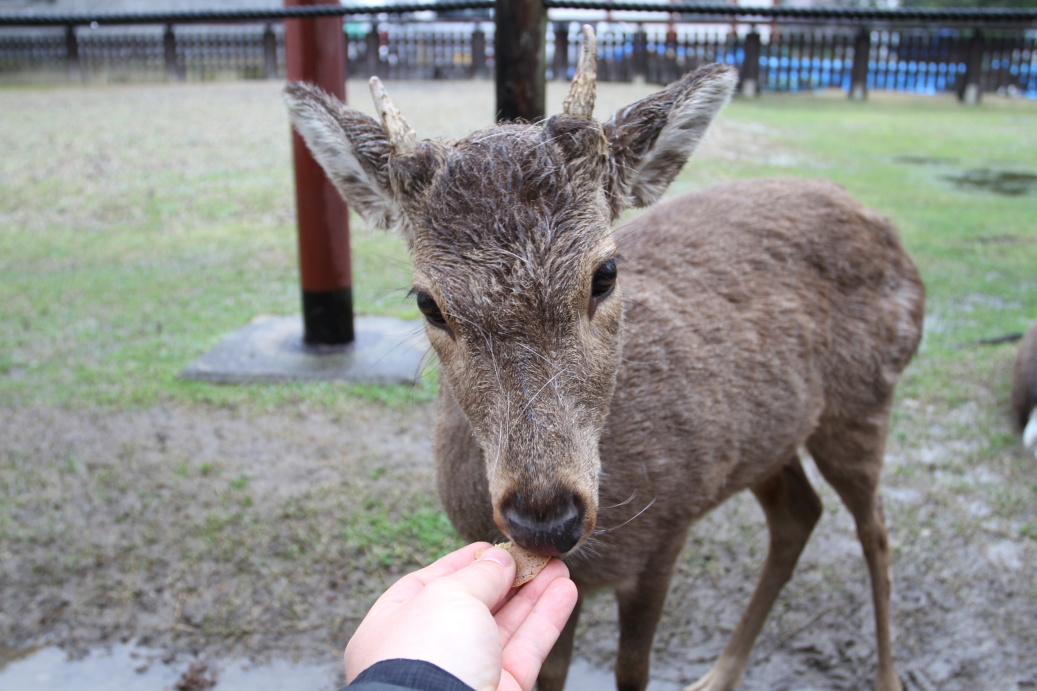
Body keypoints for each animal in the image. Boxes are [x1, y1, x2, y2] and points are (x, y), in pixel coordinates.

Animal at [282, 25, 925, 688]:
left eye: (606, 273)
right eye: (428, 302)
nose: (546, 518)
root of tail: (891, 234)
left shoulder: (669, 527)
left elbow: (632, 669)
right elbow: (549, 673)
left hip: (865, 400)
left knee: (875, 531)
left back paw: (886, 675)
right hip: (773, 437)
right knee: (800, 514)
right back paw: (718, 673)